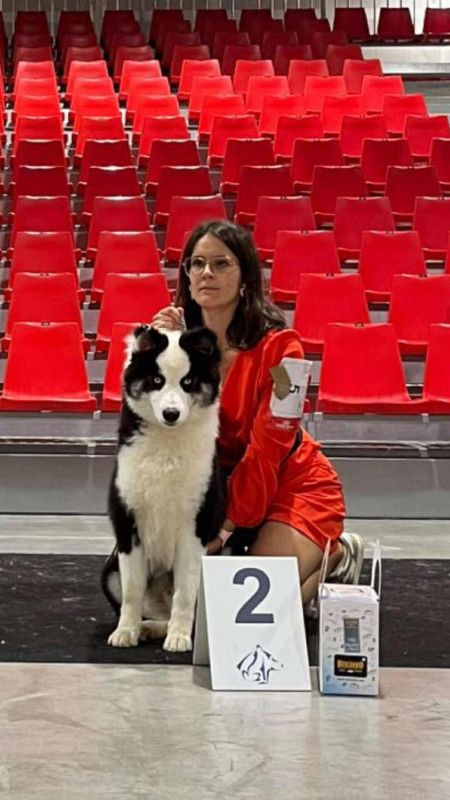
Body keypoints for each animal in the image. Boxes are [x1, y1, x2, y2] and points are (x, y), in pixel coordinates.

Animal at [102, 324, 226, 652]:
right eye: (156, 380)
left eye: (188, 382)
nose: (171, 414)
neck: (167, 445)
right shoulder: (129, 524)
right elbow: (132, 592)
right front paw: (126, 631)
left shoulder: (194, 526)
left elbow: (185, 594)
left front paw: (178, 637)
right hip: (109, 572)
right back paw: (147, 627)